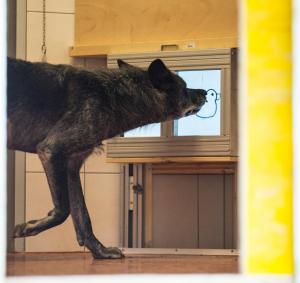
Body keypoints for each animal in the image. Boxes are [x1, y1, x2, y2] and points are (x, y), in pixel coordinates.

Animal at [7, 57, 209, 260]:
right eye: (184, 88)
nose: (205, 92)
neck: (114, 96)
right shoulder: (51, 150)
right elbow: (63, 210)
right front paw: (26, 228)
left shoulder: (71, 166)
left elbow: (82, 216)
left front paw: (100, 251)